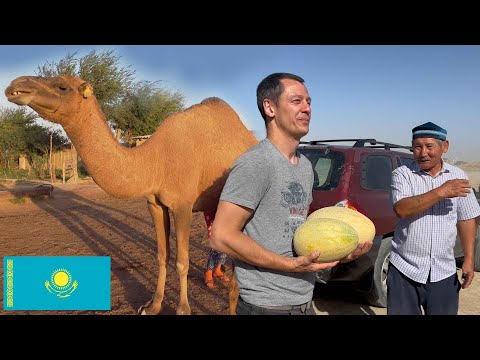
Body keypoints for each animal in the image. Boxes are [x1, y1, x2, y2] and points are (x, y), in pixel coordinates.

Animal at [4, 75, 258, 316]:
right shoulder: (155, 204)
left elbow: (182, 261)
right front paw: (152, 306)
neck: (155, 159)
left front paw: (183, 309)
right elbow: (162, 255)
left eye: (62, 86)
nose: (15, 86)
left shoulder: (183, 204)